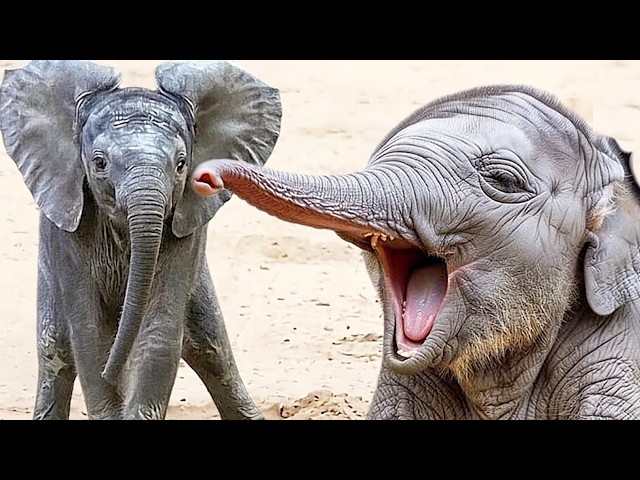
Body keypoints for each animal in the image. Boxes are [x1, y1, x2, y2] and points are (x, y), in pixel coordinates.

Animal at [0, 60, 281, 420]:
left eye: (181, 164)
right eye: (100, 163)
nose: (111, 371)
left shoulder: (186, 222)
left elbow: (159, 331)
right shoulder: (66, 231)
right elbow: (89, 335)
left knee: (211, 346)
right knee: (55, 349)